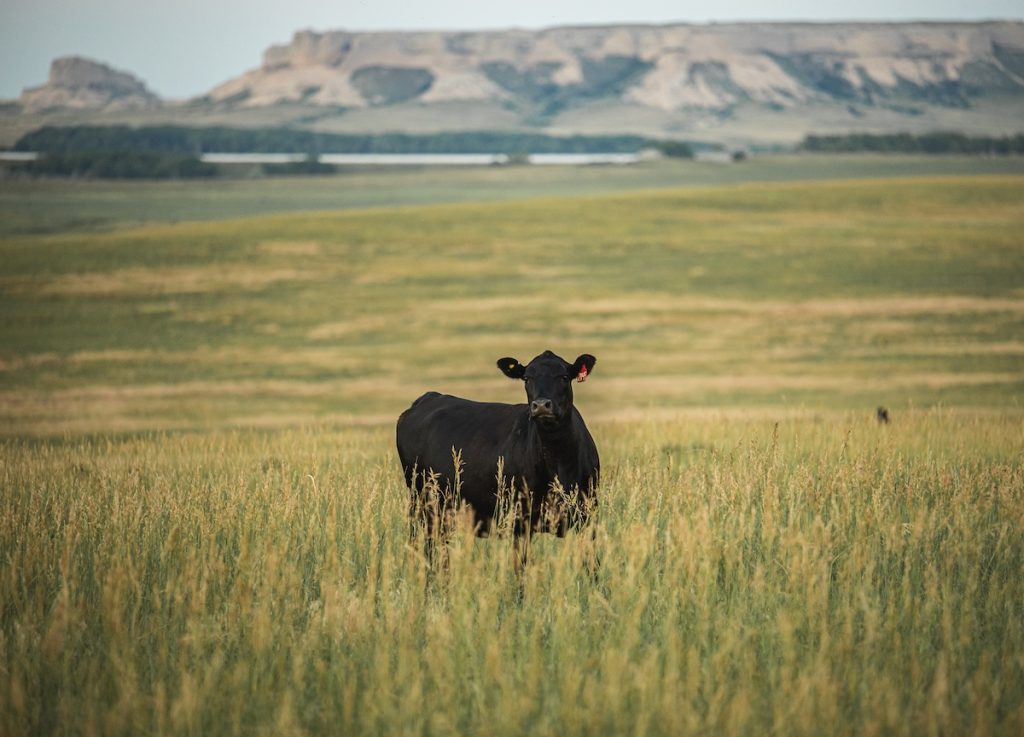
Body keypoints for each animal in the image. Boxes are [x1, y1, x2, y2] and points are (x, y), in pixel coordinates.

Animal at [396, 350, 599, 570]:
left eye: (564, 376)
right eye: (527, 378)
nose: (541, 405)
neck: (558, 464)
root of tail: (429, 397)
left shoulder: (588, 516)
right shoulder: (519, 519)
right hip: (422, 503)